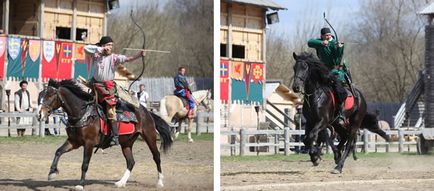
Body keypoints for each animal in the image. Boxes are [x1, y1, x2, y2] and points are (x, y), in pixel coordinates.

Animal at [37, 79, 173, 190]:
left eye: (50, 95)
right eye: (40, 96)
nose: (39, 114)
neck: (83, 114)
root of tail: (147, 112)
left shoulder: (89, 143)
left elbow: (85, 163)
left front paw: (81, 184)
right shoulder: (73, 142)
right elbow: (58, 152)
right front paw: (52, 173)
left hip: (149, 137)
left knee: (156, 157)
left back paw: (160, 182)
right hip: (126, 143)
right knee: (131, 162)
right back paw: (121, 183)